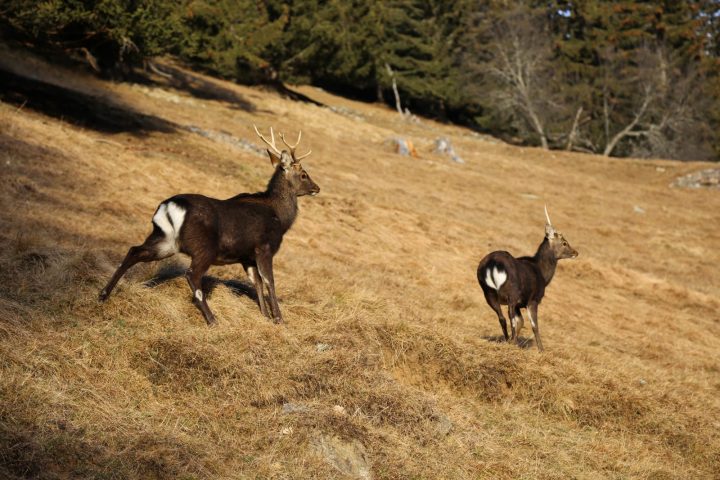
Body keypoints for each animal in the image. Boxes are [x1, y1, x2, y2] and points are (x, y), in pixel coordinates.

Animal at [478, 207, 580, 352]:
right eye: (564, 242)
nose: (576, 252)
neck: (543, 274)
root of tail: (493, 264)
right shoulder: (533, 300)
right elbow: (534, 325)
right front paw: (541, 350)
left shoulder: (520, 303)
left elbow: (521, 321)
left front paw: (512, 342)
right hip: (511, 292)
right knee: (510, 318)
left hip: (488, 292)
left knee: (502, 317)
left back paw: (507, 339)